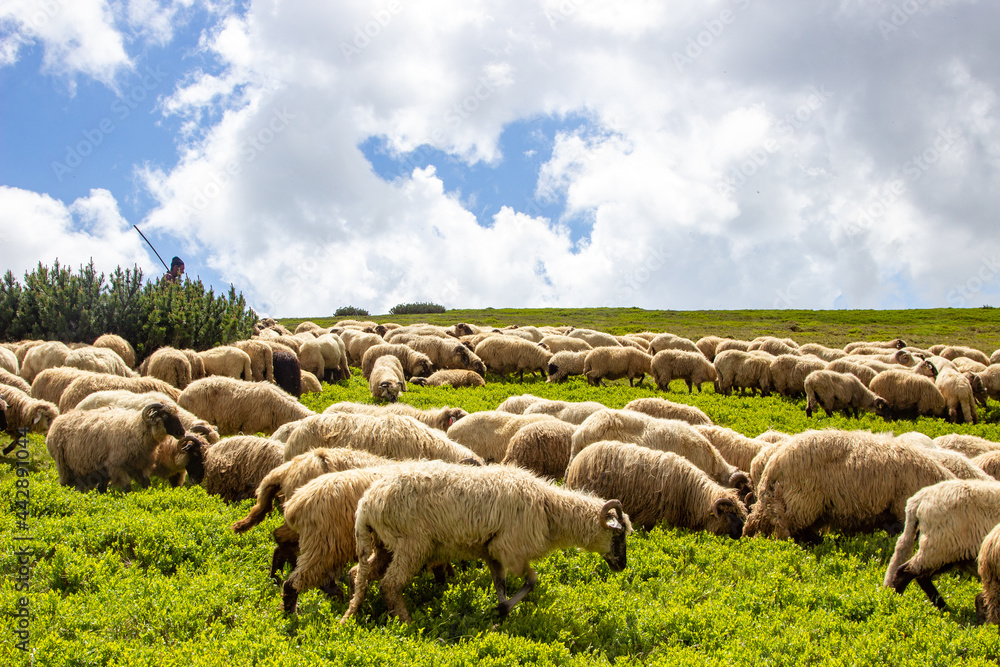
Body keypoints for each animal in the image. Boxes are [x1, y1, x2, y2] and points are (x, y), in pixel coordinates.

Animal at [45, 403, 186, 492]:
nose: (181, 432)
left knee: (98, 488)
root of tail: (59, 419)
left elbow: (146, 484)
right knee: (65, 484)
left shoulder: (143, 466)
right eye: (164, 415)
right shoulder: (117, 467)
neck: (134, 429)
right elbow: (127, 487)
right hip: (63, 465)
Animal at [342, 462, 631, 623]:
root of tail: (367, 503)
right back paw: (406, 622)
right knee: (390, 585)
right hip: (412, 544)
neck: (550, 510)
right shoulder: (510, 550)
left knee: (359, 573)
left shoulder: (492, 551)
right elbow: (532, 581)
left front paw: (500, 612)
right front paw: (502, 610)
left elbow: (500, 584)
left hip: (385, 545)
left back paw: (358, 609)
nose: (622, 566)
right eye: (619, 535)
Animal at [884, 479, 1000, 611]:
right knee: (904, 571)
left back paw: (943, 607)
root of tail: (919, 498)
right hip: (939, 546)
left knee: (921, 576)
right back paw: (897, 601)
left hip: (948, 552)